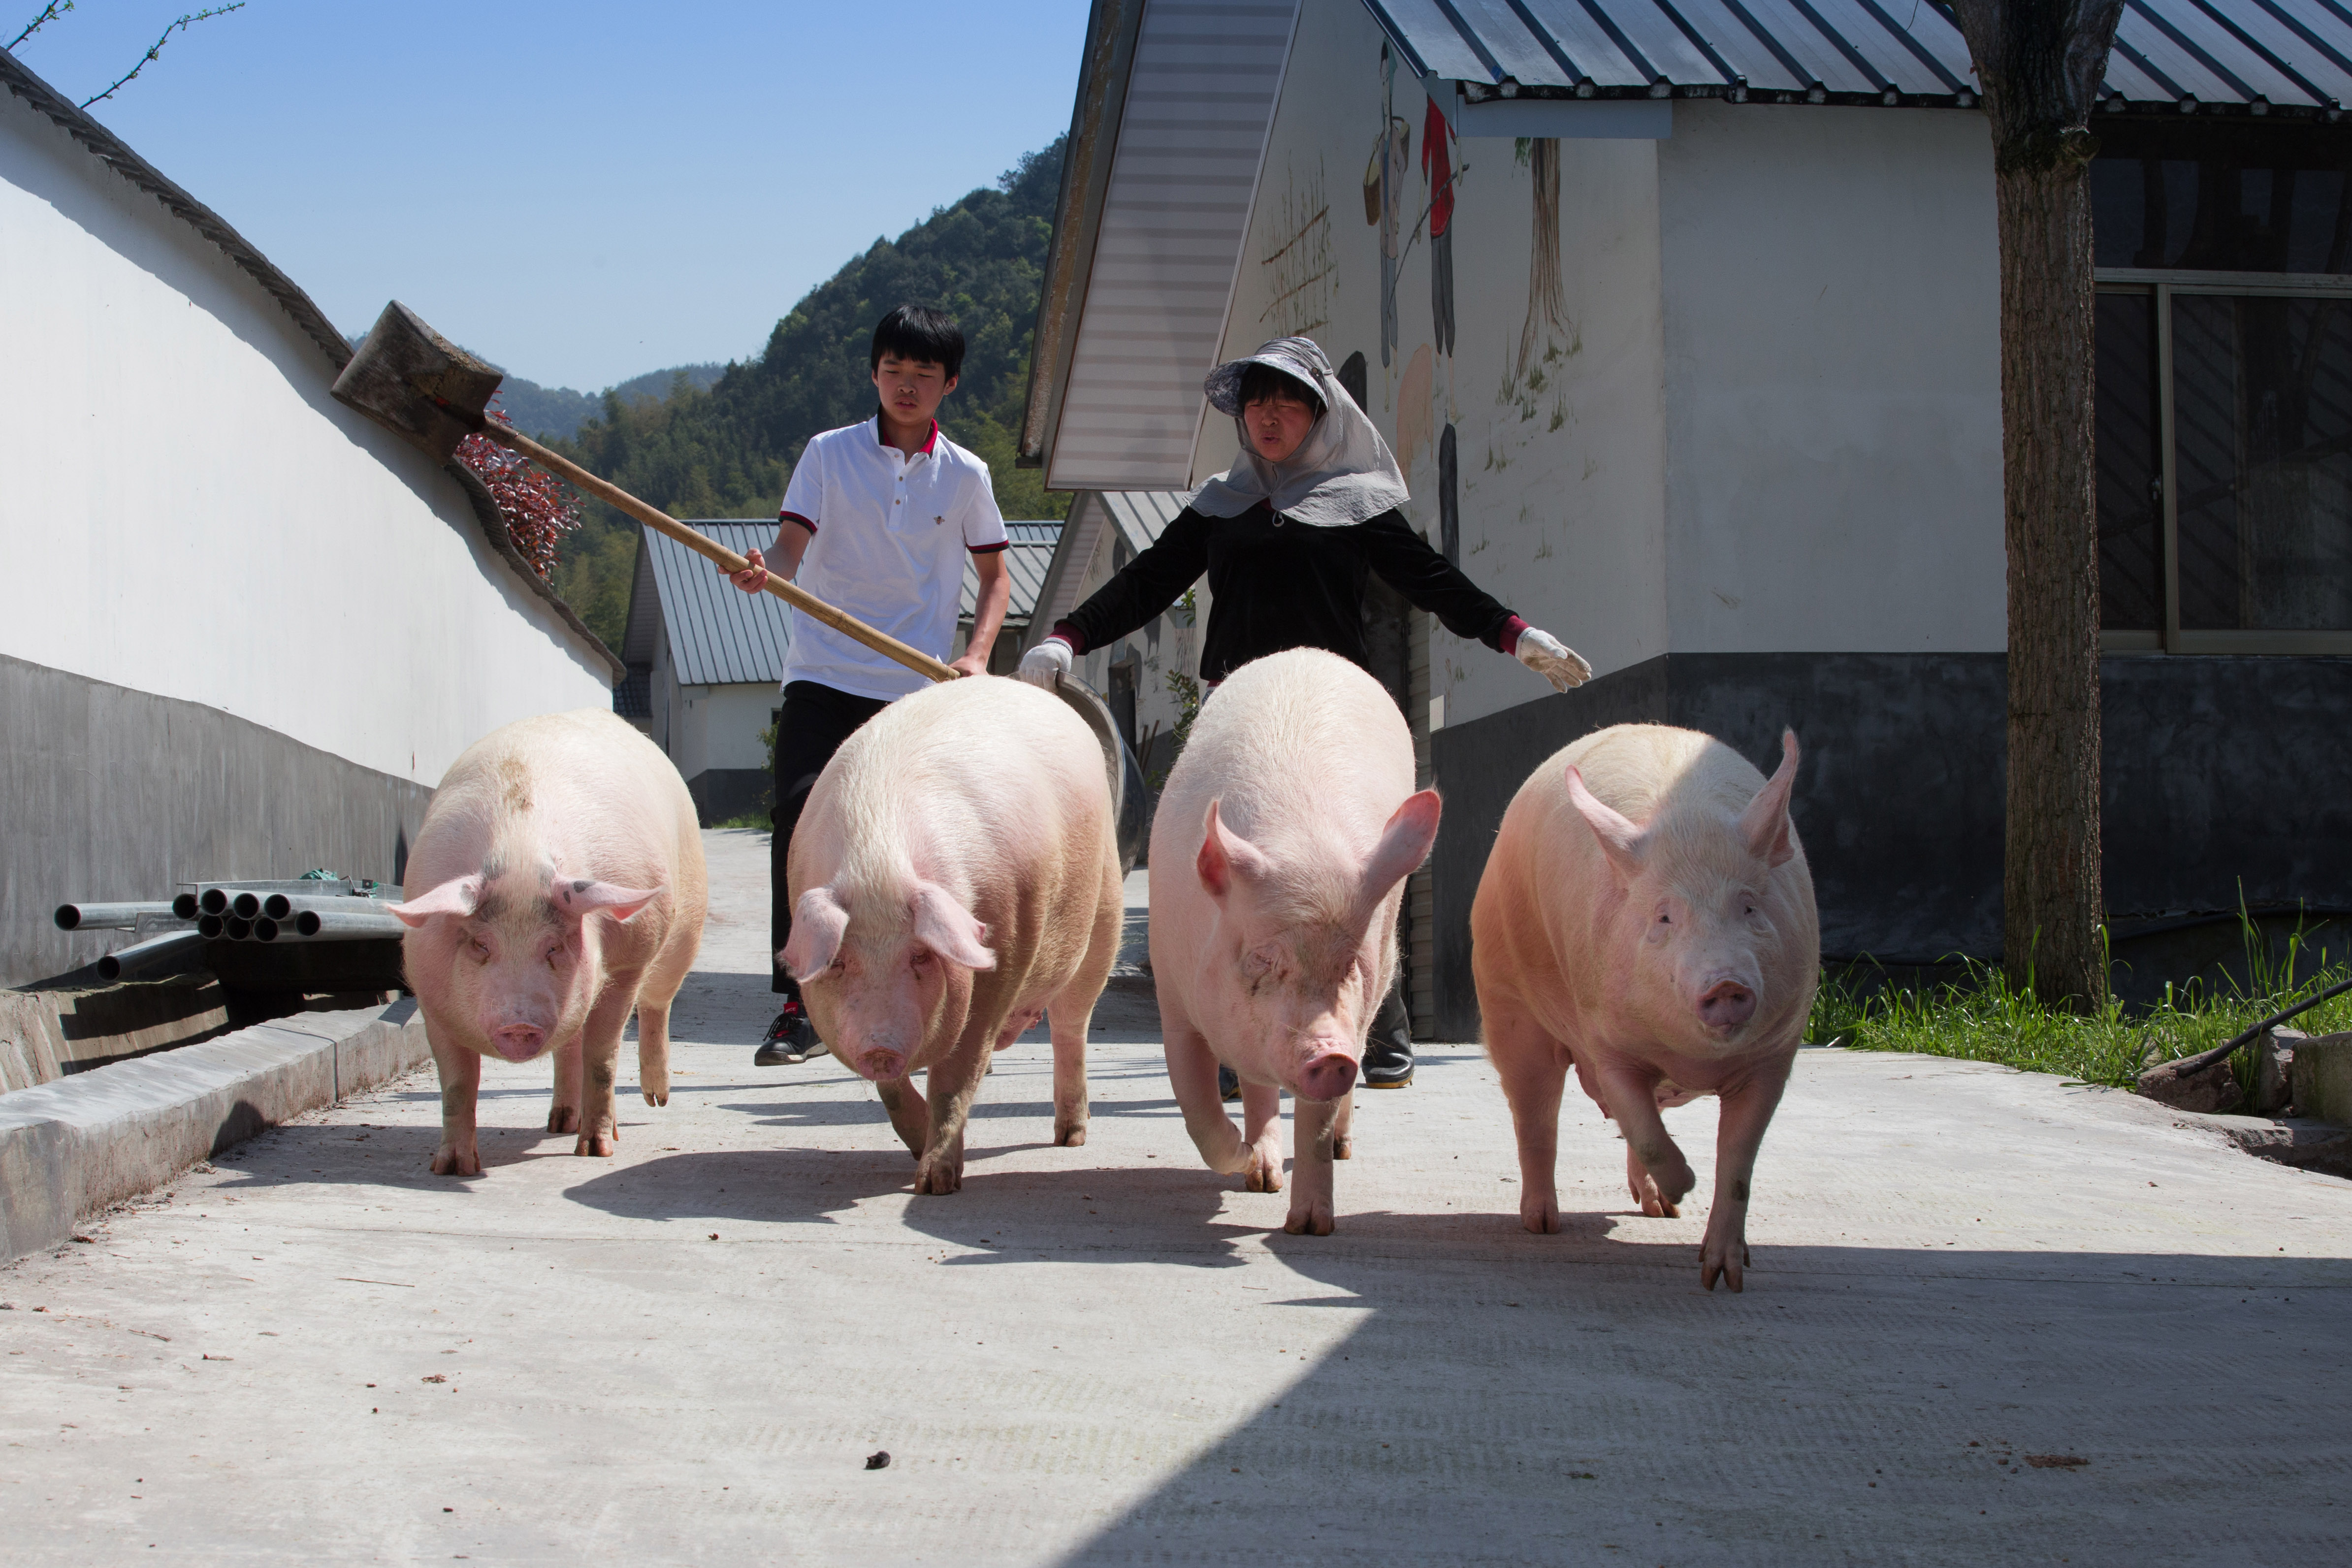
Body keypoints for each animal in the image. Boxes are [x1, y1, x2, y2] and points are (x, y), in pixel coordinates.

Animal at [392, 710, 706, 1175]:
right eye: (481, 945)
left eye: (554, 946)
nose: (519, 1024)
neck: (520, 854)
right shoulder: (429, 990)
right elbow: (457, 1081)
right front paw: (451, 1168)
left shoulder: (627, 962)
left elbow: (602, 1056)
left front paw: (595, 1152)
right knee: (569, 1046)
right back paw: (558, 1123)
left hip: (683, 927)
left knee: (656, 1004)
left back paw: (652, 1102)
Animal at [785, 672, 1124, 1189]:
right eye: (840, 961)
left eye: (921, 955)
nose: (880, 1046)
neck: (876, 862)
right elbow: (891, 1088)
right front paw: (914, 1146)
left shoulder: (1006, 950)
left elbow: (955, 1076)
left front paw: (935, 1184)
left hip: (1104, 911)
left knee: (1072, 1026)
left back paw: (1070, 1139)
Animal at [1148, 648, 1439, 1241]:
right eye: (1263, 959)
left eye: (1349, 966)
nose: (1329, 1055)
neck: (1298, 840)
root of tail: (1308, 652)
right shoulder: (1172, 991)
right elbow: (1194, 1103)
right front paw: (1244, 1162)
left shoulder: (1353, 1007)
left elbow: (1315, 1120)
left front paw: (1308, 1228)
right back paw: (1260, 1174)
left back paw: (1336, 1150)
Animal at [1467, 724, 1815, 1288]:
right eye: (1664, 916)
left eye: (1748, 906)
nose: (1725, 982)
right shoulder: (1605, 1041)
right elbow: (1647, 1133)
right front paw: (1685, 1185)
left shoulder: (1774, 1053)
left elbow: (1737, 1161)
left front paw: (1721, 1276)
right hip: (1508, 1003)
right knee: (1536, 1116)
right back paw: (1544, 1222)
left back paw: (1659, 1211)